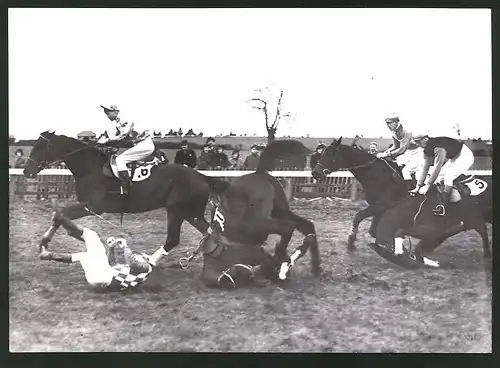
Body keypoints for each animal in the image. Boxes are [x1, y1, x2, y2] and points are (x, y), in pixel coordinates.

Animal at [23, 132, 230, 258]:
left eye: (39, 147)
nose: (26, 171)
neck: (91, 168)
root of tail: (202, 176)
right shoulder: (87, 205)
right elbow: (58, 216)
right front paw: (45, 243)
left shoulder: (93, 206)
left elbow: (61, 214)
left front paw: (50, 241)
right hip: (190, 212)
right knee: (210, 233)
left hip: (177, 210)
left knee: (175, 239)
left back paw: (149, 264)